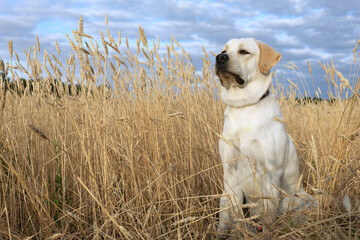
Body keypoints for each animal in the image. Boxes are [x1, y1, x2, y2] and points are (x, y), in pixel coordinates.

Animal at [214, 38, 310, 237]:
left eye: (244, 51)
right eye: (223, 50)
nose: (219, 57)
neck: (244, 106)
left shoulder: (270, 173)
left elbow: (268, 216)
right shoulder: (230, 172)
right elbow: (237, 217)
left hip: (300, 197)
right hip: (223, 197)